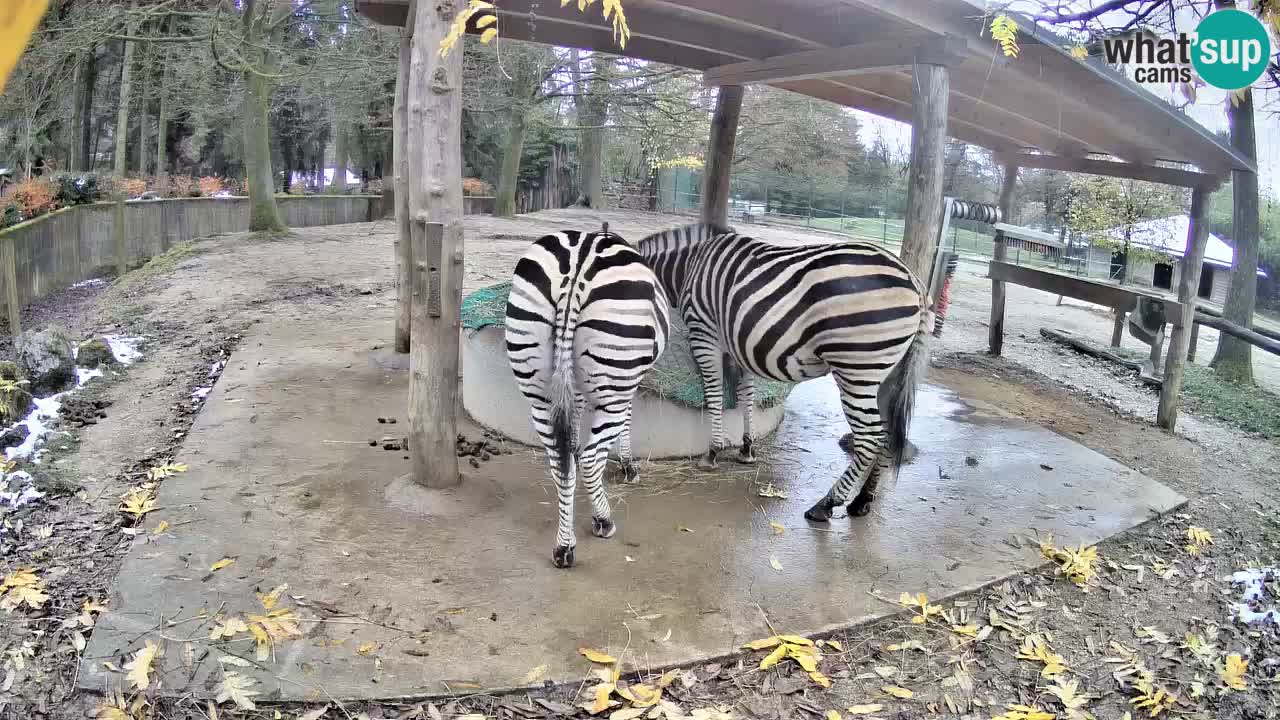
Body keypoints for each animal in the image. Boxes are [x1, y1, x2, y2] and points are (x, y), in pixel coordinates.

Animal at [505, 229, 670, 568]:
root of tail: (577, 267)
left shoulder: (574, 387)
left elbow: (572, 438)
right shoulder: (629, 382)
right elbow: (627, 421)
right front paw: (628, 466)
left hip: (539, 392)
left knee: (559, 460)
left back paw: (564, 546)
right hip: (614, 380)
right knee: (593, 457)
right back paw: (603, 521)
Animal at [633, 223, 931, 521]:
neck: (689, 265)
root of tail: (914, 280)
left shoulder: (704, 331)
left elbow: (714, 392)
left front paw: (713, 452)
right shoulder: (738, 341)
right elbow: (747, 396)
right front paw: (747, 448)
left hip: (857, 369)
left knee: (870, 438)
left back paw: (826, 504)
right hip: (887, 373)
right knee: (888, 433)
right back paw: (862, 500)